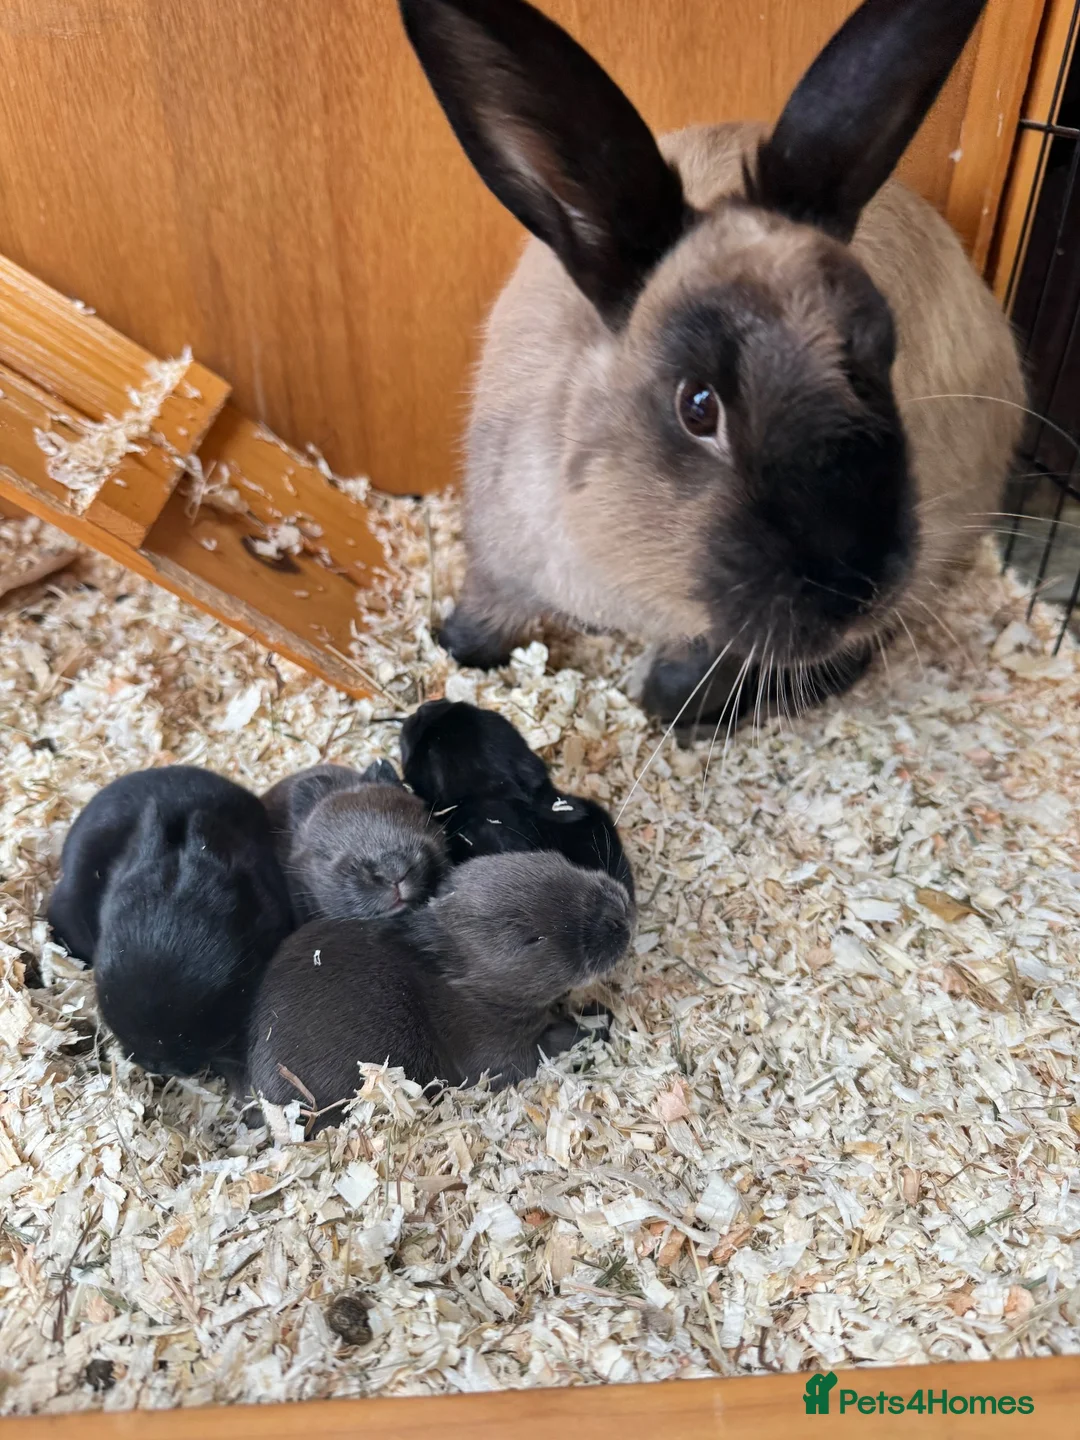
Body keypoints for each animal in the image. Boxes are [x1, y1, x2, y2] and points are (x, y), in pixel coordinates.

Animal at [249, 850, 634, 1131]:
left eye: (552, 860)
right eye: (532, 939)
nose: (619, 915)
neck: (468, 990)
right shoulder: (495, 1053)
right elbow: (546, 1048)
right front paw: (598, 1025)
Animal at [400, 0, 1025, 724]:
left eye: (881, 363)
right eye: (698, 407)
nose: (856, 591)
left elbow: (696, 679)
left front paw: (670, 704)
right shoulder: (499, 558)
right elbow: (482, 625)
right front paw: (454, 655)